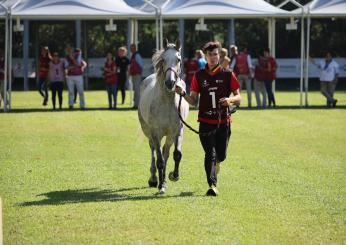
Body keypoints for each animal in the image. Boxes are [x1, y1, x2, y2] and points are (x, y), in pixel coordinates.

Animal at [138, 40, 189, 193]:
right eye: (163, 60)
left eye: (178, 59)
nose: (170, 83)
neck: (167, 102)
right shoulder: (156, 133)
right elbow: (159, 160)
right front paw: (160, 185)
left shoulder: (178, 131)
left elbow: (176, 154)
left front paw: (173, 176)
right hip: (149, 131)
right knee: (154, 150)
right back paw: (154, 179)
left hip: (169, 136)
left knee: (166, 152)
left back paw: (164, 179)